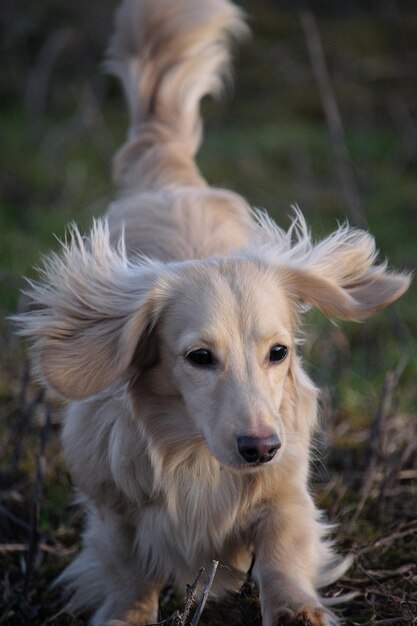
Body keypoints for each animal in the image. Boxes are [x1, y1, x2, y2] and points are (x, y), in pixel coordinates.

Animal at [14, 1, 408, 624]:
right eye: (199, 357)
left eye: (279, 352)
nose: (260, 448)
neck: (195, 459)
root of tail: (169, 174)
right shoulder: (113, 508)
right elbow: (129, 570)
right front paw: (129, 612)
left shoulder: (287, 491)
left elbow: (282, 548)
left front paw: (295, 608)